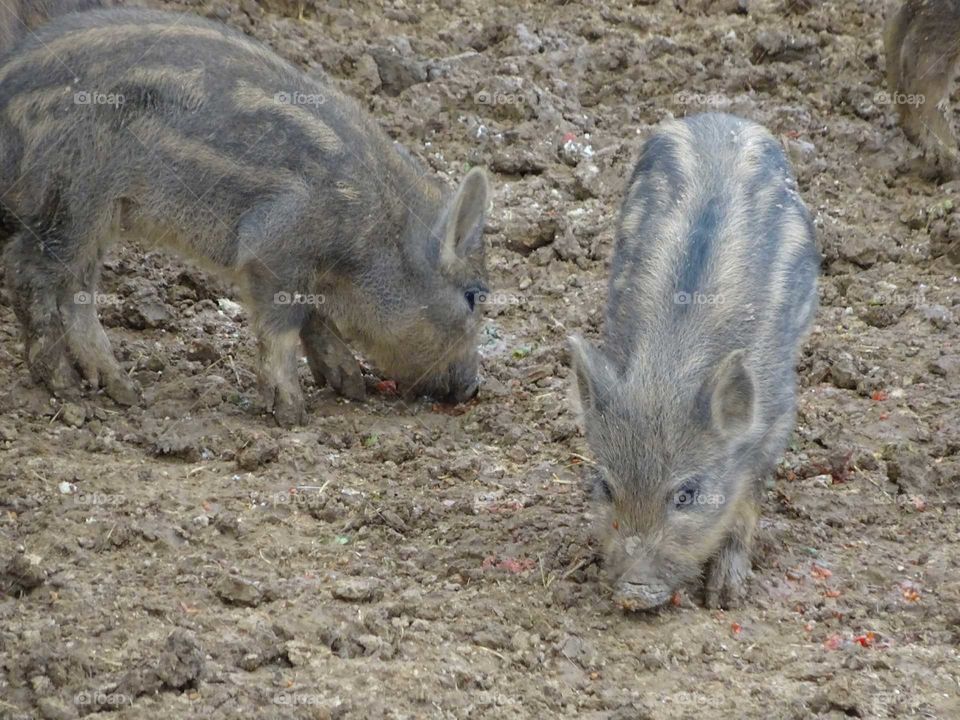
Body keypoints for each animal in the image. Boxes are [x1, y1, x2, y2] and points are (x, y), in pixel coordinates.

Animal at [0, 8, 491, 426]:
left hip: (99, 215)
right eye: (474, 297)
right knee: (28, 271)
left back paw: (125, 393)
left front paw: (350, 386)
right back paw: (69, 390)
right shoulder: (274, 247)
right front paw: (293, 414)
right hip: (72, 197)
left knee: (76, 290)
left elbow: (313, 316)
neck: (377, 228)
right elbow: (283, 325)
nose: (472, 389)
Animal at [568, 113, 819, 610]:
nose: (632, 591)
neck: (669, 371)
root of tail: (723, 118)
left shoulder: (779, 414)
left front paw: (724, 597)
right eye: (605, 485)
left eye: (687, 494)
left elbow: (749, 498)